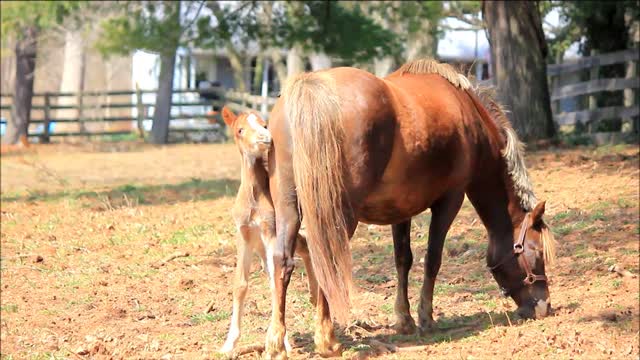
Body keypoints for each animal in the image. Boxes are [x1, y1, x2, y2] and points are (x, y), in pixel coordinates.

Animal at [264, 59, 556, 358]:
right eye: (536, 252)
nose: (544, 306)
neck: (467, 114)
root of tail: (312, 87)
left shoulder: (399, 210)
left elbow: (403, 259)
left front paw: (404, 319)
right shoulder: (450, 200)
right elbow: (432, 259)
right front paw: (426, 317)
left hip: (289, 207)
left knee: (282, 261)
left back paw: (276, 342)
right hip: (337, 215)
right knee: (326, 261)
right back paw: (327, 340)